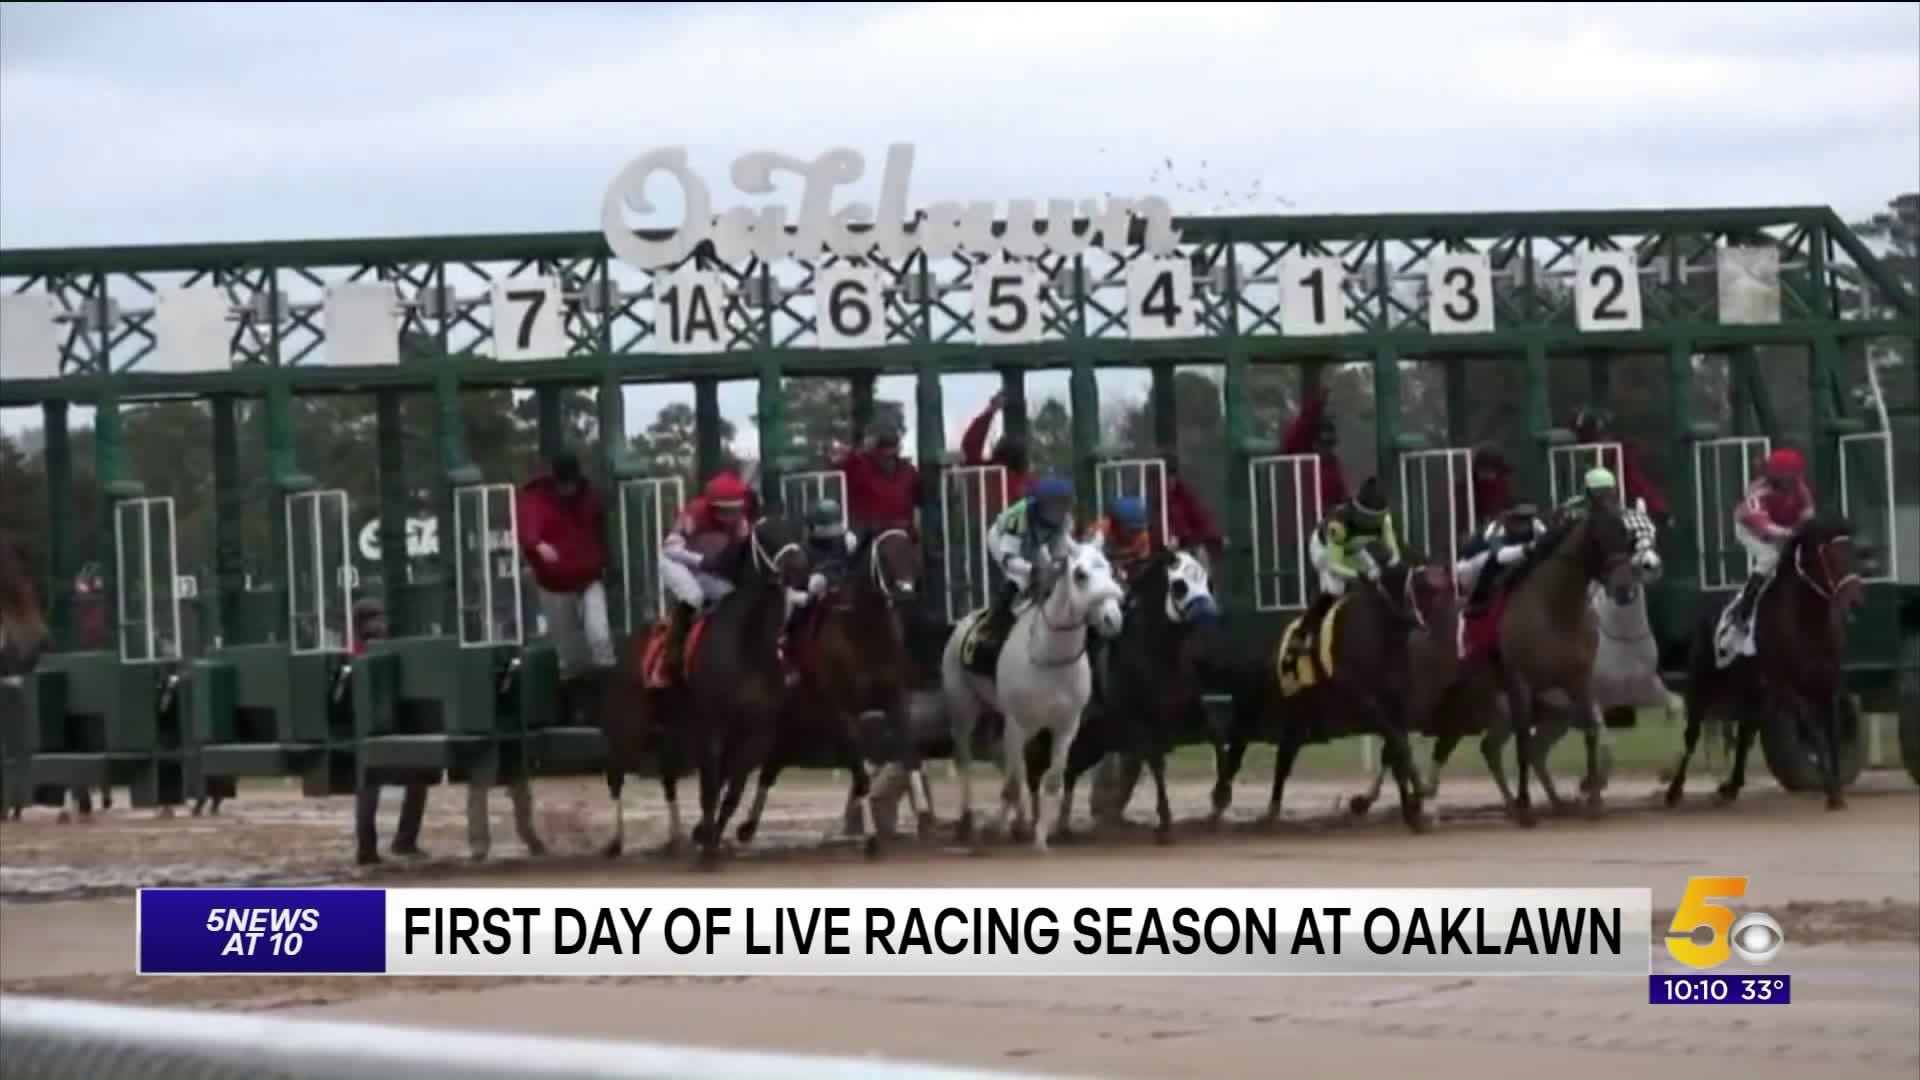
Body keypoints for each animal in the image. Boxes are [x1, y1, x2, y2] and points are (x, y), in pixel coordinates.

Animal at [729, 526, 925, 853]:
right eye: (885, 557)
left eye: (911, 554)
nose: (906, 594)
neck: (863, 632)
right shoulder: (843, 711)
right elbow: (859, 767)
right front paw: (870, 837)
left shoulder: (894, 700)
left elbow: (909, 751)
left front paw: (924, 815)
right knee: (752, 765)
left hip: (790, 726)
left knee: (770, 767)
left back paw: (746, 827)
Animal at [940, 541, 1121, 853]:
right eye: (1080, 575)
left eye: (1109, 569)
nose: (1113, 618)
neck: (1049, 657)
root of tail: (965, 621)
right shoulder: (1017, 723)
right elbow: (1015, 780)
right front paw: (1002, 828)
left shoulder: (1065, 726)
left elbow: (1050, 779)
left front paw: (1039, 836)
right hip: (963, 707)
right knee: (965, 759)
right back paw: (967, 822)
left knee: (1007, 763)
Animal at [1044, 545, 1221, 841]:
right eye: (1179, 586)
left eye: (1208, 582)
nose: (1208, 616)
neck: (1156, 652)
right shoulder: (1143, 725)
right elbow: (1157, 763)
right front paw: (1165, 823)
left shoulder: (1189, 714)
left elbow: (1217, 739)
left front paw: (1221, 798)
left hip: (1096, 738)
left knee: (1071, 770)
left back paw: (1064, 825)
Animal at [1213, 545, 1451, 834]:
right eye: (1427, 589)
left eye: (1443, 587)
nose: (1441, 631)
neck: (1380, 632)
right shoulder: (1365, 702)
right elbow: (1399, 748)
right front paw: (1417, 797)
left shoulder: (1396, 704)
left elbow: (1395, 751)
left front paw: (1411, 810)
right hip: (1252, 706)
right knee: (1237, 745)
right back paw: (1220, 798)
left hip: (1297, 712)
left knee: (1283, 757)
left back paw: (1271, 811)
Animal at [1666, 515, 1858, 807]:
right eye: (1830, 554)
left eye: (1854, 552)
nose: (1856, 598)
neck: (1807, 623)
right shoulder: (1785, 688)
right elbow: (1813, 731)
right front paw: (1831, 790)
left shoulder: (1827, 686)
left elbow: (1832, 733)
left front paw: (1836, 789)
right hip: (1702, 684)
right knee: (1692, 735)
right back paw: (1674, 790)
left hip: (1752, 694)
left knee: (1745, 733)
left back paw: (1732, 785)